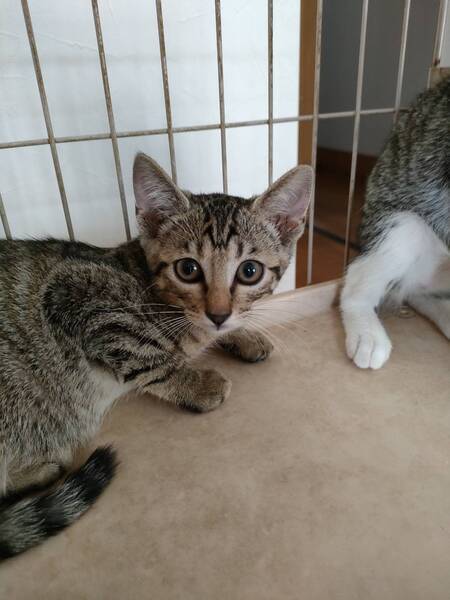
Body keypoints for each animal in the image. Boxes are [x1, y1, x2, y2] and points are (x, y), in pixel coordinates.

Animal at [0, 153, 313, 559]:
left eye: (249, 271)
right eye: (188, 268)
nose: (218, 313)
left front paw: (243, 335)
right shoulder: (78, 295)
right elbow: (149, 357)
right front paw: (198, 383)